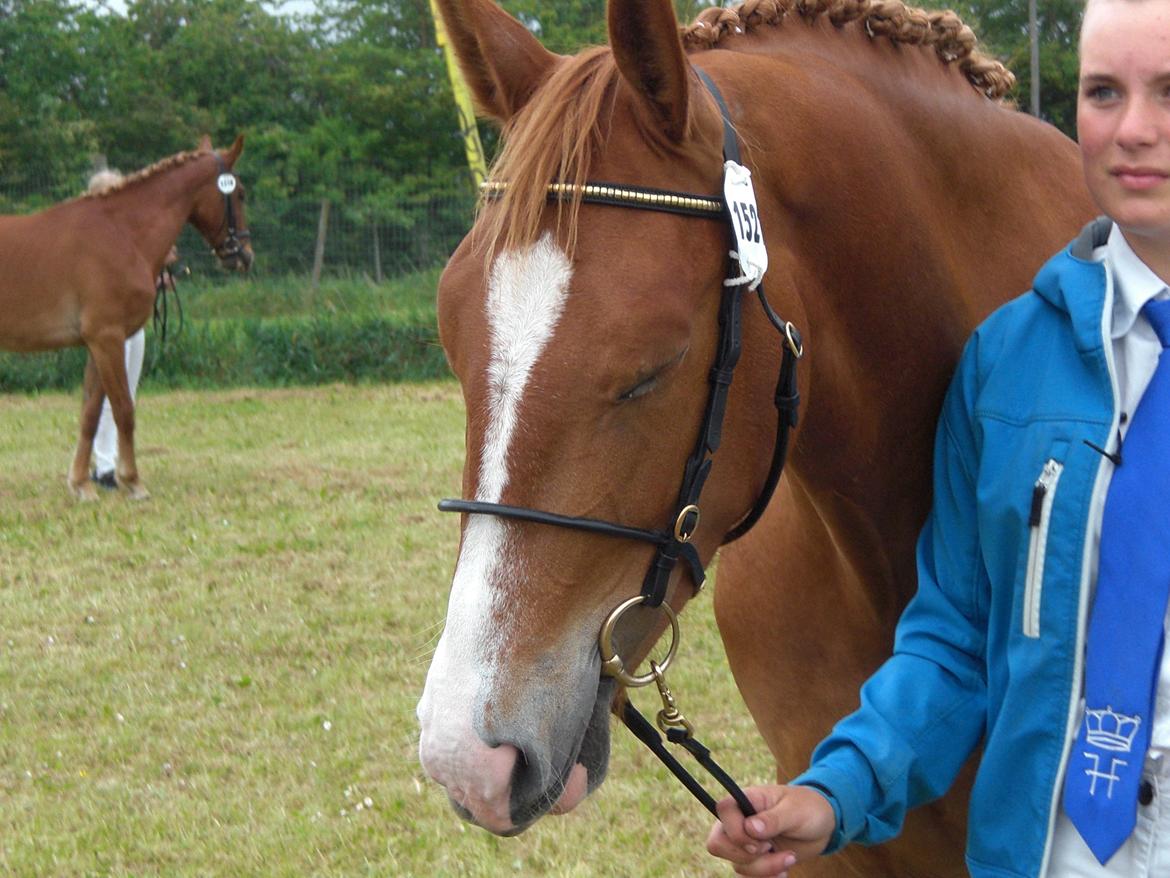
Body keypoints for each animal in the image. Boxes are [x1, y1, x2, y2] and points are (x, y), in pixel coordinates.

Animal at [0, 134, 251, 498]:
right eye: (240, 193)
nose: (244, 255)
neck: (121, 232)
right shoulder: (108, 338)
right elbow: (123, 410)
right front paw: (132, 481)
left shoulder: (95, 344)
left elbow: (91, 414)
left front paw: (80, 483)